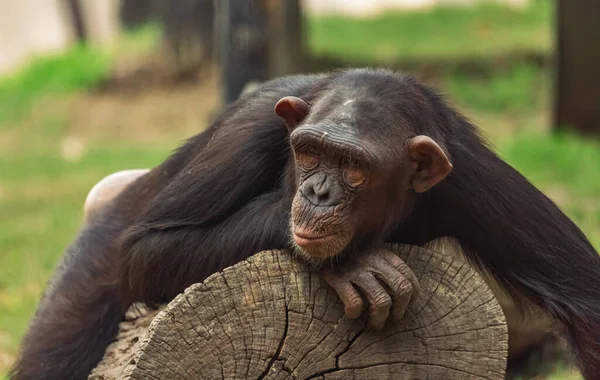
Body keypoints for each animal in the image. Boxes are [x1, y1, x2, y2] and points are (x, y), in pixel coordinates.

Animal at [9, 69, 600, 380]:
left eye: (354, 166)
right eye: (311, 152)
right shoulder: (246, 131)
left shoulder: (477, 180)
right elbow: (148, 251)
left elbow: (584, 297)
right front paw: (352, 264)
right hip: (88, 264)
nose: (317, 192)